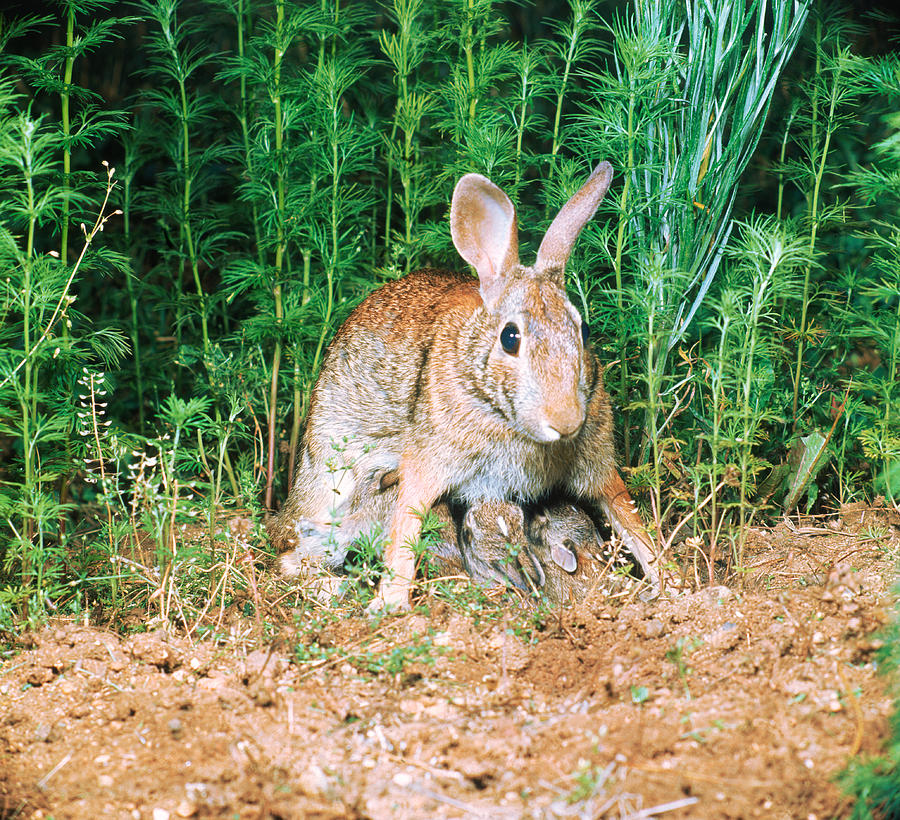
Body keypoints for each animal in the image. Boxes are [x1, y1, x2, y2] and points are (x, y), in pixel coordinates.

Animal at [268, 160, 660, 608]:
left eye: (585, 330)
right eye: (510, 338)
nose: (565, 421)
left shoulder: (598, 468)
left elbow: (630, 520)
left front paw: (672, 583)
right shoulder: (426, 466)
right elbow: (406, 529)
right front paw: (391, 605)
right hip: (330, 478)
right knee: (291, 554)